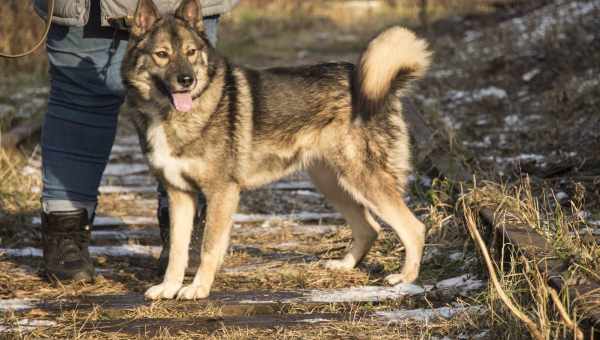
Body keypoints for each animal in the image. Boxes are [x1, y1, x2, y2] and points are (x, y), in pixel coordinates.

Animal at [123, 0, 432, 300]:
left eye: (191, 52)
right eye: (162, 54)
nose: (187, 80)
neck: (169, 114)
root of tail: (379, 85)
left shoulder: (221, 193)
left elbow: (208, 248)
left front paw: (198, 288)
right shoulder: (179, 195)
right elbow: (177, 251)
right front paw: (168, 288)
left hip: (364, 181)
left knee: (414, 228)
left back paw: (405, 279)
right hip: (333, 183)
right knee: (370, 228)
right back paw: (344, 265)